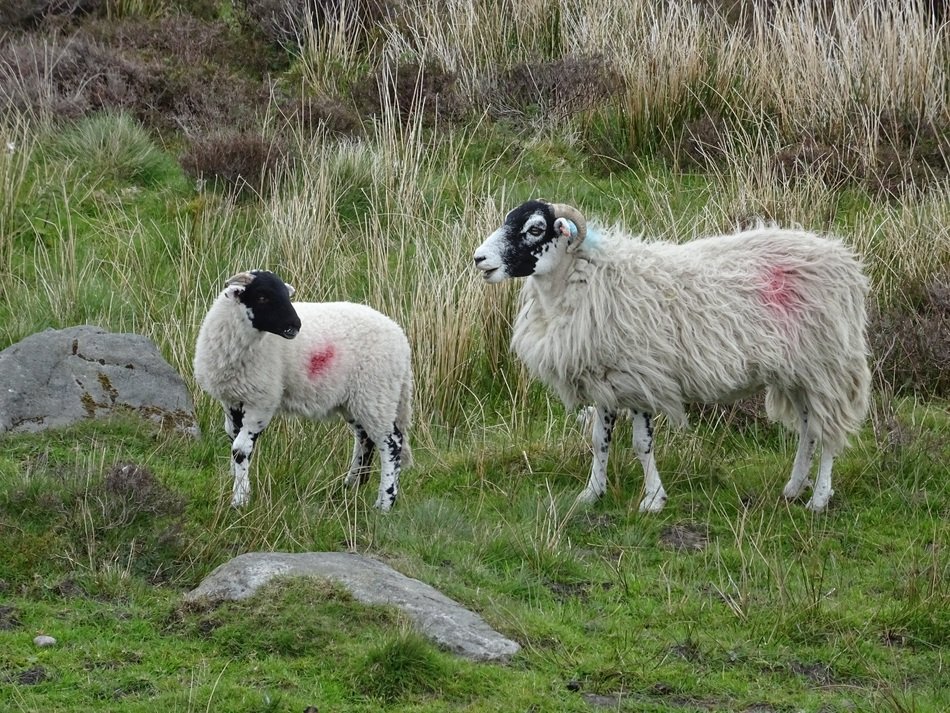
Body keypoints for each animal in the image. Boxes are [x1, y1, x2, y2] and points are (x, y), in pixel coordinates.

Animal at [193, 270, 413, 512]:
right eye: (262, 296)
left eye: (286, 295)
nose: (295, 325)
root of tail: (401, 339)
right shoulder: (232, 399)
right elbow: (232, 438)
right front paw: (236, 480)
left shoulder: (262, 400)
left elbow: (241, 449)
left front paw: (240, 499)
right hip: (356, 399)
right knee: (365, 439)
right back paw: (351, 485)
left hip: (377, 393)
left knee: (391, 442)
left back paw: (384, 502)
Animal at [473, 200, 870, 513]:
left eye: (535, 229)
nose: (479, 259)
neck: (585, 279)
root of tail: (844, 260)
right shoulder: (604, 380)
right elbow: (599, 441)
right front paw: (592, 493)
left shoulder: (640, 378)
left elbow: (641, 444)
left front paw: (653, 500)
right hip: (799, 372)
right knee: (808, 428)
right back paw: (793, 488)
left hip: (827, 365)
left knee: (828, 432)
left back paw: (818, 499)